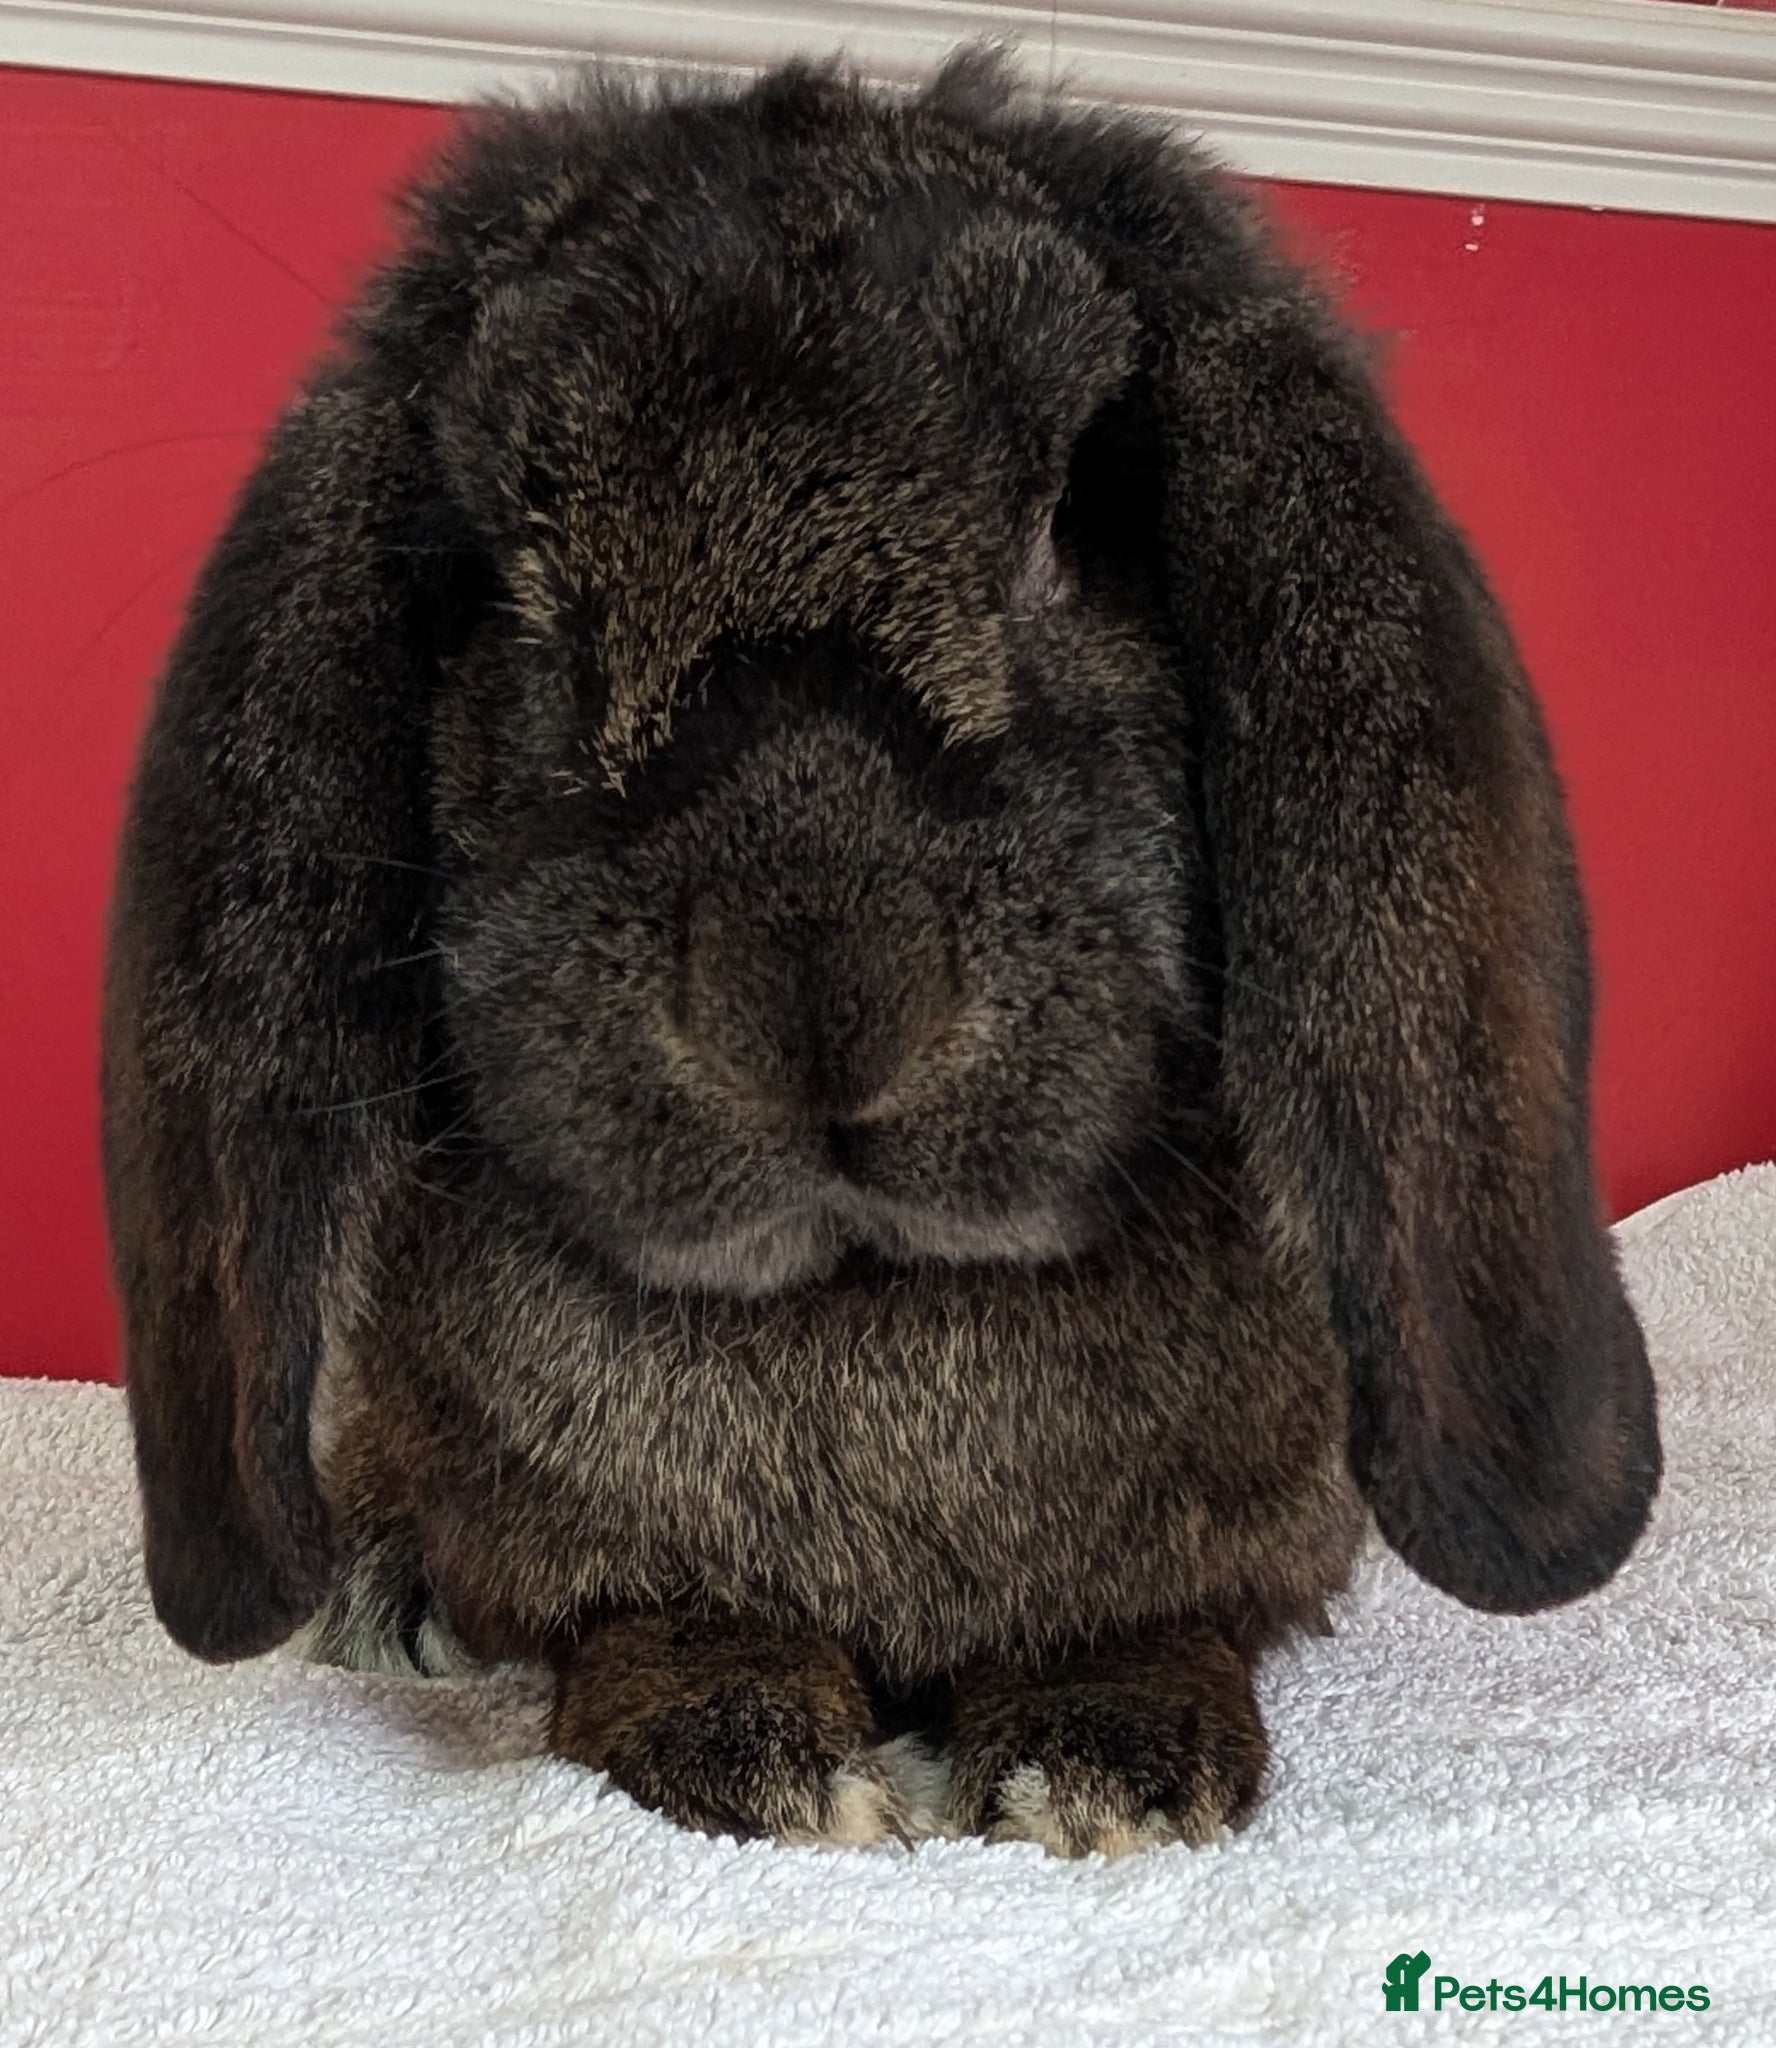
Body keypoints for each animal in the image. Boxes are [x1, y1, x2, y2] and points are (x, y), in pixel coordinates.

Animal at [102, 49, 1661, 1856]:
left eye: (1063, 530)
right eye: (515, 590)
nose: (815, 990)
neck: (867, 1299)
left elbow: (1150, 1624)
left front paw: (1108, 1764)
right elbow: (645, 1620)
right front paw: (755, 1748)